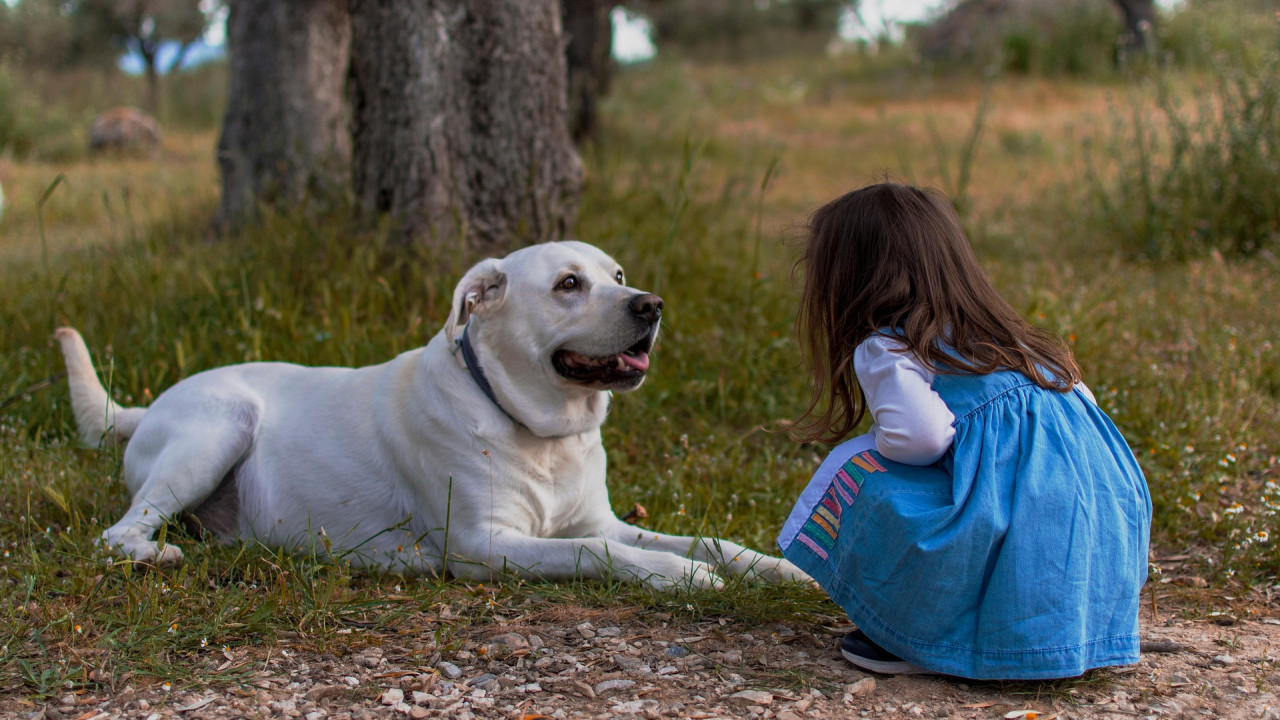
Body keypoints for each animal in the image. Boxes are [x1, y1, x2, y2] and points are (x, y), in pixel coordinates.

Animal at [57, 240, 808, 589]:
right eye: (568, 284)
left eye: (617, 276)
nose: (650, 305)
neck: (540, 432)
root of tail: (147, 406)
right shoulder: (485, 544)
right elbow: (600, 553)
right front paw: (679, 577)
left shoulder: (600, 519)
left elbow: (706, 540)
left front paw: (776, 568)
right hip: (218, 427)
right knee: (115, 534)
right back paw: (153, 555)